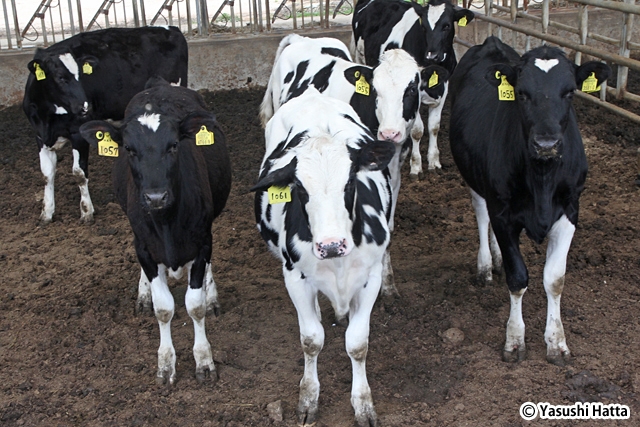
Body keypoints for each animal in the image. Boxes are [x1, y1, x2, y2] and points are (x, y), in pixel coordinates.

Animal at [23, 27, 188, 226]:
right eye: (60, 77)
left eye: (80, 76)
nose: (85, 106)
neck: (48, 116)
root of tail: (171, 29)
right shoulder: (40, 136)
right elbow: (47, 173)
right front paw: (46, 212)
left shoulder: (78, 132)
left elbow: (79, 172)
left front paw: (86, 211)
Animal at [78, 79, 231, 384]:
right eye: (128, 148)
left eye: (173, 145)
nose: (155, 197)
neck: (167, 223)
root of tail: (160, 84)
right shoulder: (145, 247)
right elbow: (164, 308)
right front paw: (165, 364)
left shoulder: (202, 243)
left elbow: (194, 305)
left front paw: (204, 360)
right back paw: (143, 294)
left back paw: (211, 296)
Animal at [252, 89, 392, 424]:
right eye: (300, 189)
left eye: (351, 182)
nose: (331, 245)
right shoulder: (294, 277)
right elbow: (311, 339)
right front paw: (308, 399)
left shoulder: (370, 277)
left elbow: (358, 343)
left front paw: (363, 403)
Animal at [350, 0, 476, 174]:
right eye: (424, 27)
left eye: (447, 26)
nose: (432, 55)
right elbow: (417, 131)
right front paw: (416, 165)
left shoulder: (443, 87)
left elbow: (434, 126)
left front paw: (434, 161)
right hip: (360, 56)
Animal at [448, 35, 612, 366]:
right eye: (521, 94)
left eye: (570, 92)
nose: (546, 143)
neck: (542, 178)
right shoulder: (503, 213)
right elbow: (518, 277)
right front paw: (514, 340)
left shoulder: (571, 210)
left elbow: (555, 278)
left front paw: (557, 342)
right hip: (475, 179)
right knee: (481, 213)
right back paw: (486, 265)